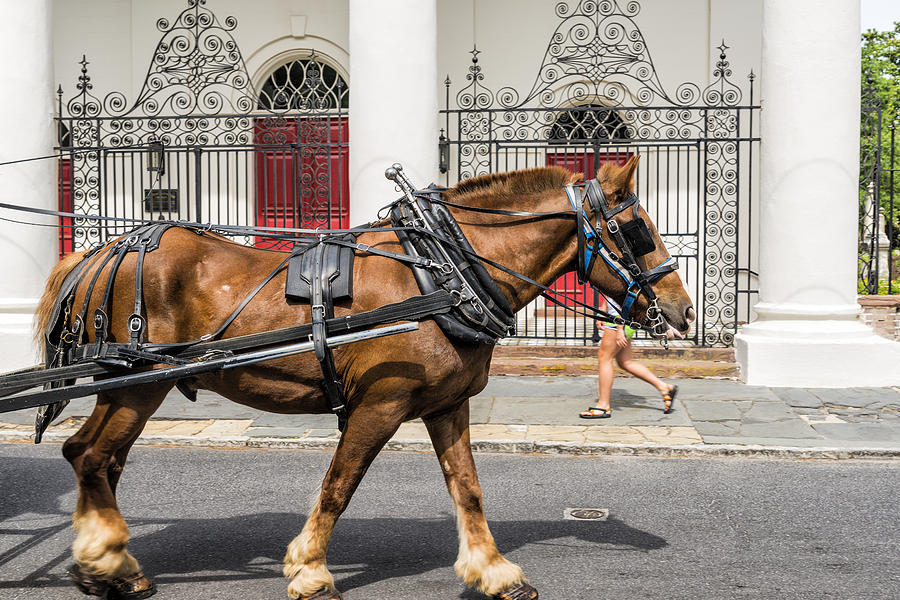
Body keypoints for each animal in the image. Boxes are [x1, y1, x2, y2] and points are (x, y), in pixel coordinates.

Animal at [35, 158, 692, 600]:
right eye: (639, 230)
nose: (683, 311)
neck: (445, 272)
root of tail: (103, 251)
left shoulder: (446, 405)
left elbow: (468, 490)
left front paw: (495, 570)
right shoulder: (380, 404)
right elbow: (338, 486)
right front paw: (310, 570)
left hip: (122, 387)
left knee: (87, 455)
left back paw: (98, 562)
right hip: (138, 383)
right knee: (93, 456)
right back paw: (111, 562)